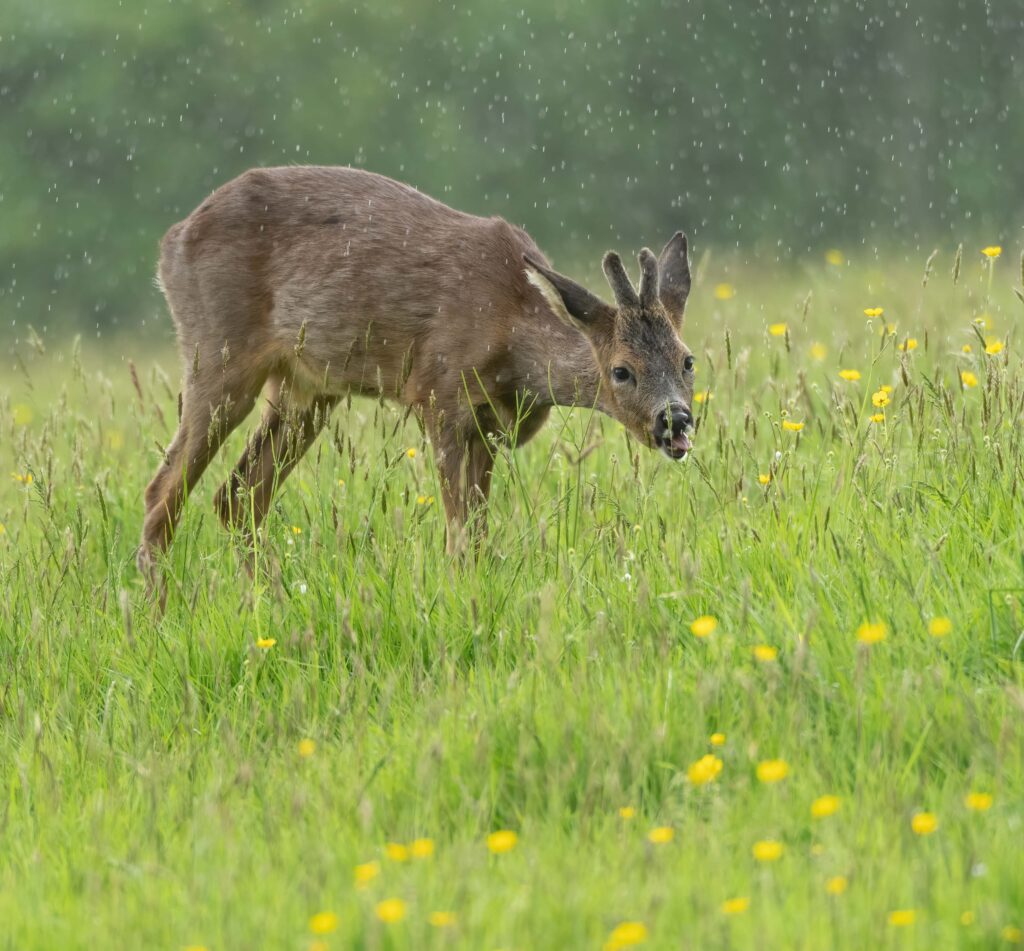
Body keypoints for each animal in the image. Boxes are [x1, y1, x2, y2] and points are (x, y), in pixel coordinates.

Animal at [138, 166, 696, 589]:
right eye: (621, 370)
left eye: (688, 360)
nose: (676, 419)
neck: (512, 332)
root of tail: (170, 242)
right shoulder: (439, 394)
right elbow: (459, 533)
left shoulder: (490, 427)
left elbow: (478, 533)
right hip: (217, 354)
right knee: (163, 493)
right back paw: (157, 617)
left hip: (306, 390)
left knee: (237, 496)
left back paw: (269, 601)